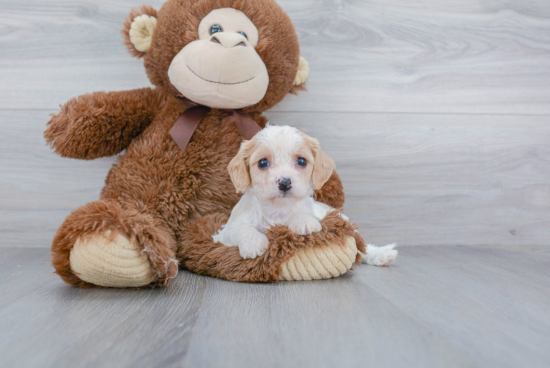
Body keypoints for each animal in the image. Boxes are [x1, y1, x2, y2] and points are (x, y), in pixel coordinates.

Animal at [213, 123, 398, 264]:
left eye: (301, 161)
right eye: (263, 163)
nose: (284, 182)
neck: (278, 209)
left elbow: (305, 215)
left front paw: (303, 221)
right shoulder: (224, 231)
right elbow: (241, 228)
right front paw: (253, 243)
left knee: (363, 248)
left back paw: (381, 255)